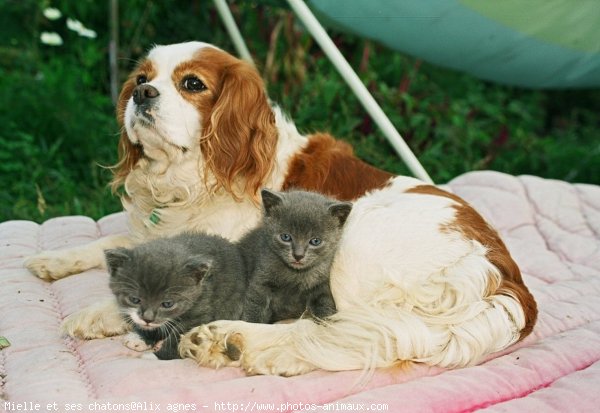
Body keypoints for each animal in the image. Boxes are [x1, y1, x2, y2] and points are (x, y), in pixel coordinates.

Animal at [106, 233, 247, 358]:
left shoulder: (201, 313)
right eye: (134, 299)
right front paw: (141, 338)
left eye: (167, 304)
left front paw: (156, 356)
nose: (147, 319)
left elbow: (181, 339)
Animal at [239, 189, 352, 322]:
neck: (296, 274)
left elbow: (325, 303)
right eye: (286, 237)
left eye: (315, 241)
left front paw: (325, 322)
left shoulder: (322, 283)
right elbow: (255, 303)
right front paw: (252, 322)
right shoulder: (261, 280)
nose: (298, 255)